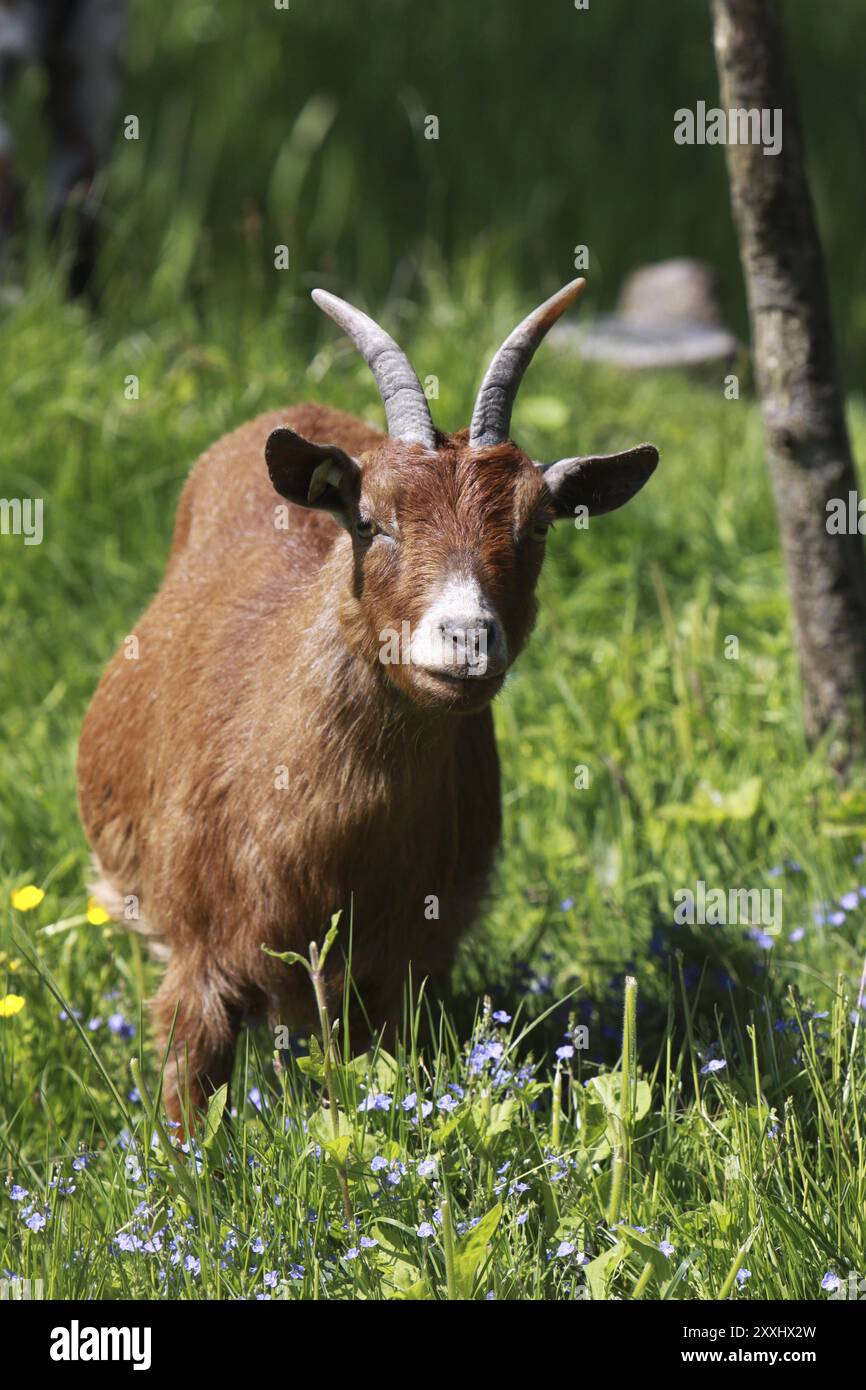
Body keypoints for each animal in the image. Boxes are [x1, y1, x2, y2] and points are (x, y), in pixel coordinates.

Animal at [77, 276, 661, 1123]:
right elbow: (186, 1106)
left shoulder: (405, 964)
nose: (466, 636)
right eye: (370, 520)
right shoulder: (197, 954)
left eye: (537, 526)